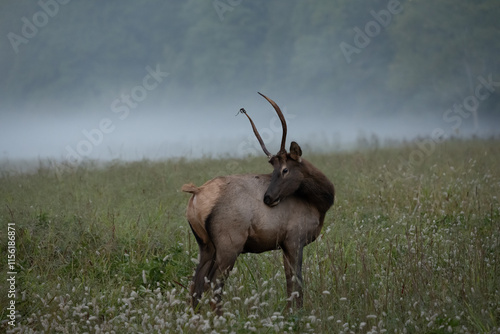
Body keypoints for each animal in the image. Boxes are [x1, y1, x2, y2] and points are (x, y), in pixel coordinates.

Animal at [182, 92, 334, 314]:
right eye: (276, 170)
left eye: (284, 169)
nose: (268, 197)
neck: (320, 204)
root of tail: (196, 193)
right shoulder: (294, 239)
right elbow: (297, 282)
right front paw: (297, 314)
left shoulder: (285, 244)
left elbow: (290, 282)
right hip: (229, 245)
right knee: (214, 286)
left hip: (206, 246)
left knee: (195, 287)